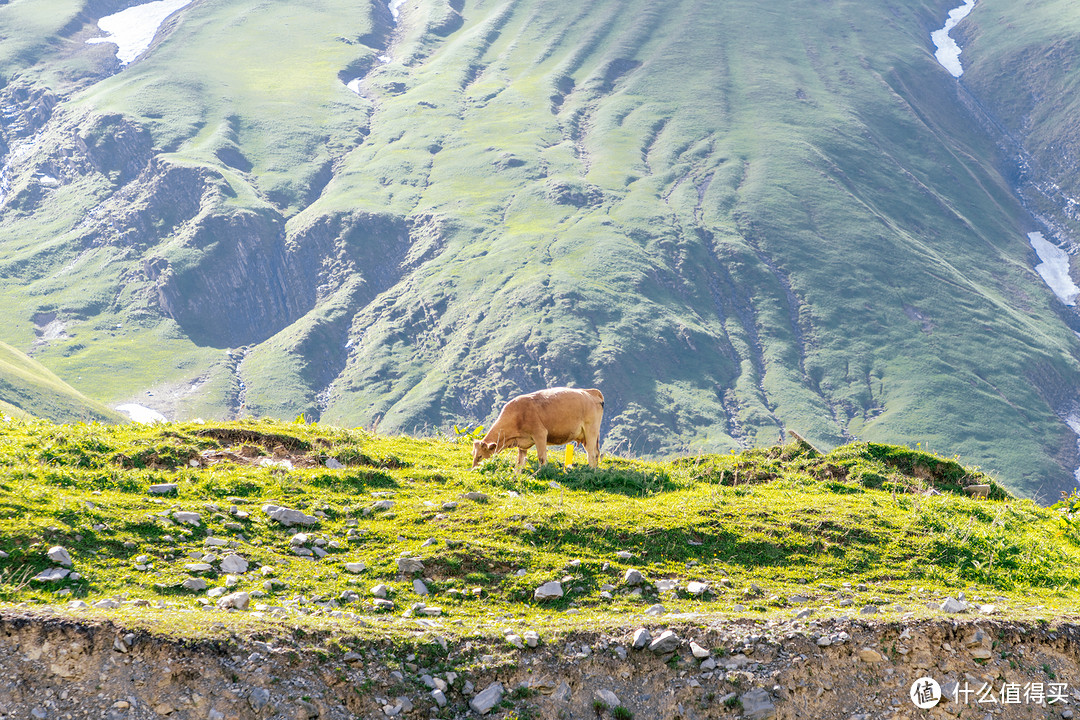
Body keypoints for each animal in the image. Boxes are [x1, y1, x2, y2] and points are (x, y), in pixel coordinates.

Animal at [470, 388, 604, 472]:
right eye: (473, 455)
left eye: (480, 456)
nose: (474, 469)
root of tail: (590, 391)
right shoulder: (522, 444)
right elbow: (520, 463)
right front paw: (517, 475)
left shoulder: (540, 434)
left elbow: (541, 457)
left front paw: (541, 472)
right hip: (587, 436)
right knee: (596, 453)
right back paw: (595, 470)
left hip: (591, 430)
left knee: (592, 453)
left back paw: (591, 471)